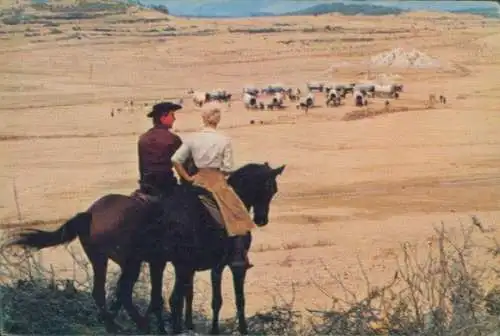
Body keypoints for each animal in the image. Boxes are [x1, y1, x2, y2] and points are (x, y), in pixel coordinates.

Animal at [7, 162, 286, 334]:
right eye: (270, 188)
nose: (261, 219)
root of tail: (91, 212)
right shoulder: (227, 265)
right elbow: (230, 299)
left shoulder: (185, 265)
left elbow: (183, 297)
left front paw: (186, 325)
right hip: (131, 262)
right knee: (124, 292)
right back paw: (139, 325)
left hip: (102, 259)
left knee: (103, 292)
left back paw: (114, 325)